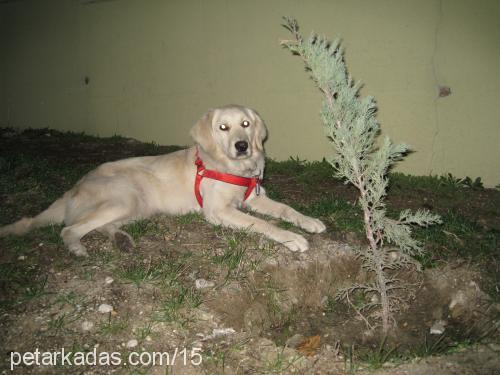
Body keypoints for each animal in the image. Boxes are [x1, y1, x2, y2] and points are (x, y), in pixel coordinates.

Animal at [0, 105, 324, 256]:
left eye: (246, 124)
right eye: (223, 128)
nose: (242, 145)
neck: (231, 167)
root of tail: (74, 186)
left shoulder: (254, 197)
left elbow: (286, 209)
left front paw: (308, 221)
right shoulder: (219, 211)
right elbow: (263, 224)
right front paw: (292, 238)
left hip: (137, 207)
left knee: (99, 226)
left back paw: (122, 240)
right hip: (124, 198)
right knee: (70, 229)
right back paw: (78, 247)